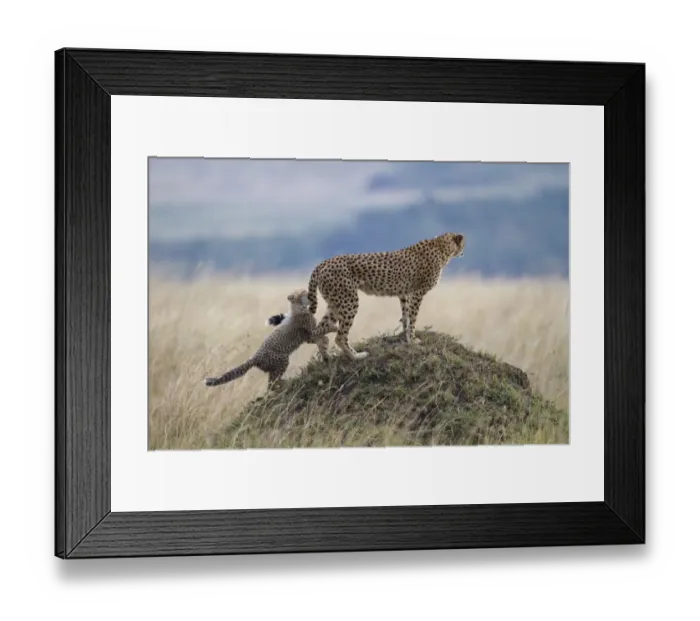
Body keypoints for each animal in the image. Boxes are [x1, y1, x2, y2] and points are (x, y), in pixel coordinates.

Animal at [268, 232, 465, 360]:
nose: (464, 251)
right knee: (339, 336)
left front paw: (405, 335)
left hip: (335, 302)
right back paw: (356, 356)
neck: (441, 246)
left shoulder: (405, 293)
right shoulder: (417, 292)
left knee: (317, 332)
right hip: (349, 301)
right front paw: (413, 340)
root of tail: (324, 261)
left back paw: (327, 357)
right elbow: (413, 317)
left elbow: (405, 315)